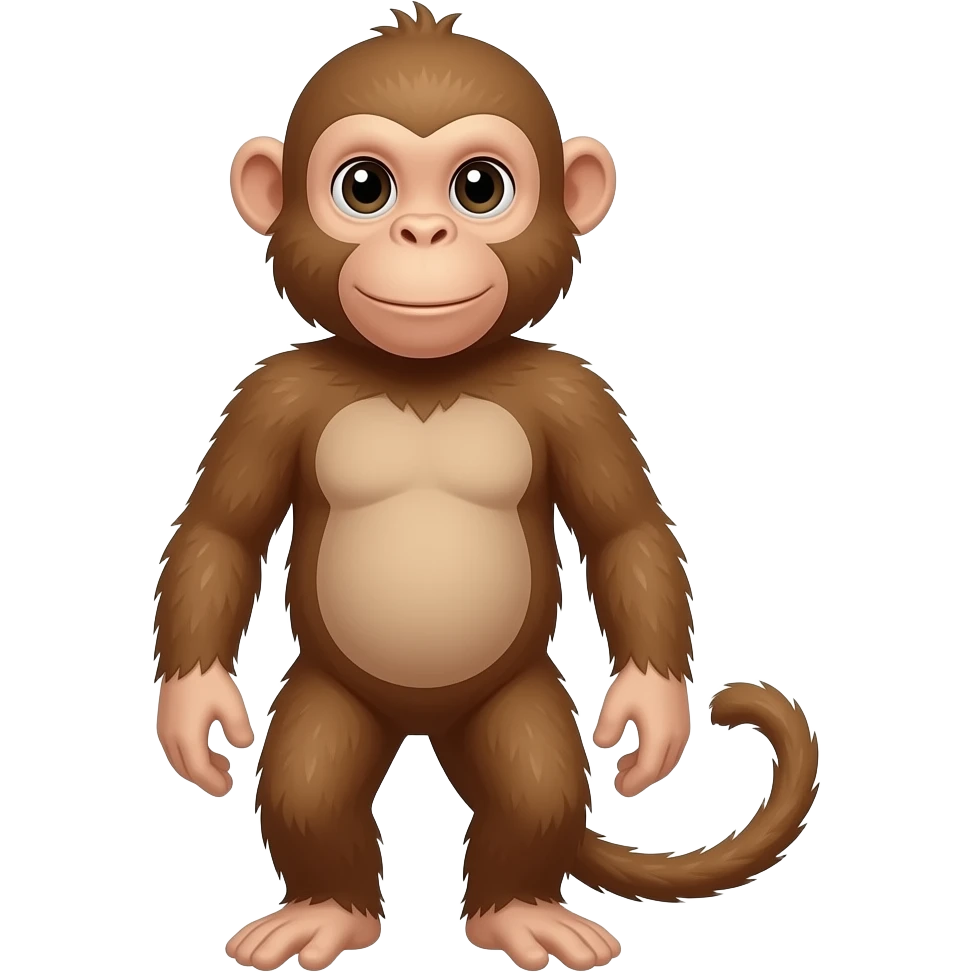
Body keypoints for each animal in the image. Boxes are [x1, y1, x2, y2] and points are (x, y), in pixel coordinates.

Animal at [153, 6, 820, 971]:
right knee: (312, 783)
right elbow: (220, 532)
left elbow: (626, 531)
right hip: (334, 690)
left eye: (479, 187)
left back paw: (520, 911)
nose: (424, 234)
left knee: (533, 783)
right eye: (365, 187)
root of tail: (425, 722)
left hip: (511, 695)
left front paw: (652, 712)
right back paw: (327, 911)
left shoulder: (576, 395)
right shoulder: (269, 396)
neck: (426, 375)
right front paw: (194, 708)